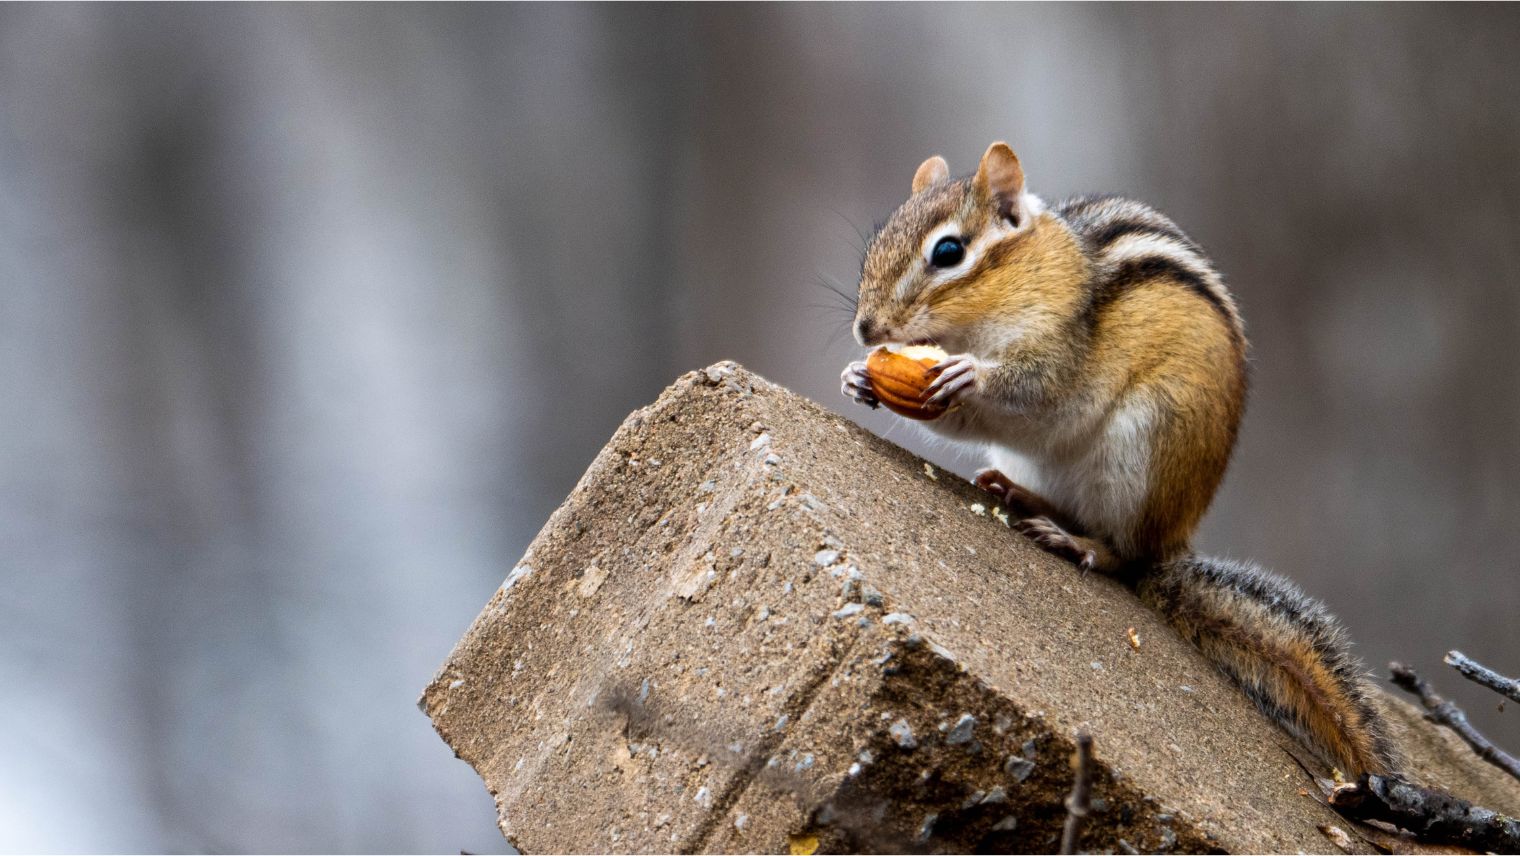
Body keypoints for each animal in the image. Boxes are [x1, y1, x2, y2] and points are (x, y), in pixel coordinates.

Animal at [839, 142, 1401, 780]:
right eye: (878, 239)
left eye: (949, 252)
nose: (865, 329)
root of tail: (1171, 544)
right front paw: (858, 377)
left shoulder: (1061, 345)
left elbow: (1032, 384)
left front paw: (969, 374)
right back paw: (1018, 494)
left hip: (1139, 449)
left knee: (1122, 554)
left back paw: (1075, 543)